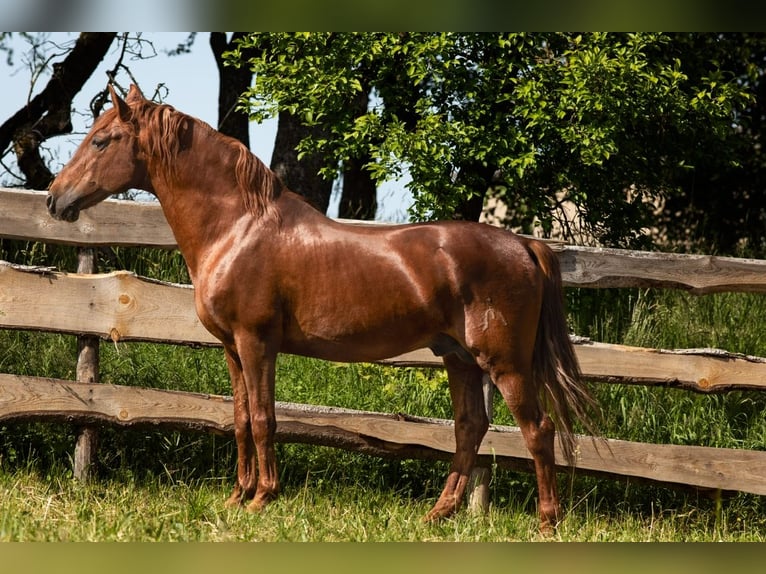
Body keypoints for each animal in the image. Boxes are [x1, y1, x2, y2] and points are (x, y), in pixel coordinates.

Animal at [46, 83, 600, 532]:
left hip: (504, 363)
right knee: (470, 429)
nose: (54, 199)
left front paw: (262, 499)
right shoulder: (231, 348)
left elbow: (265, 418)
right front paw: (236, 498)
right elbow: (240, 419)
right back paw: (437, 515)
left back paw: (546, 523)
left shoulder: (256, 342)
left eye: (101, 140)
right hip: (459, 358)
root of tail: (524, 244)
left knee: (537, 430)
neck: (237, 227)